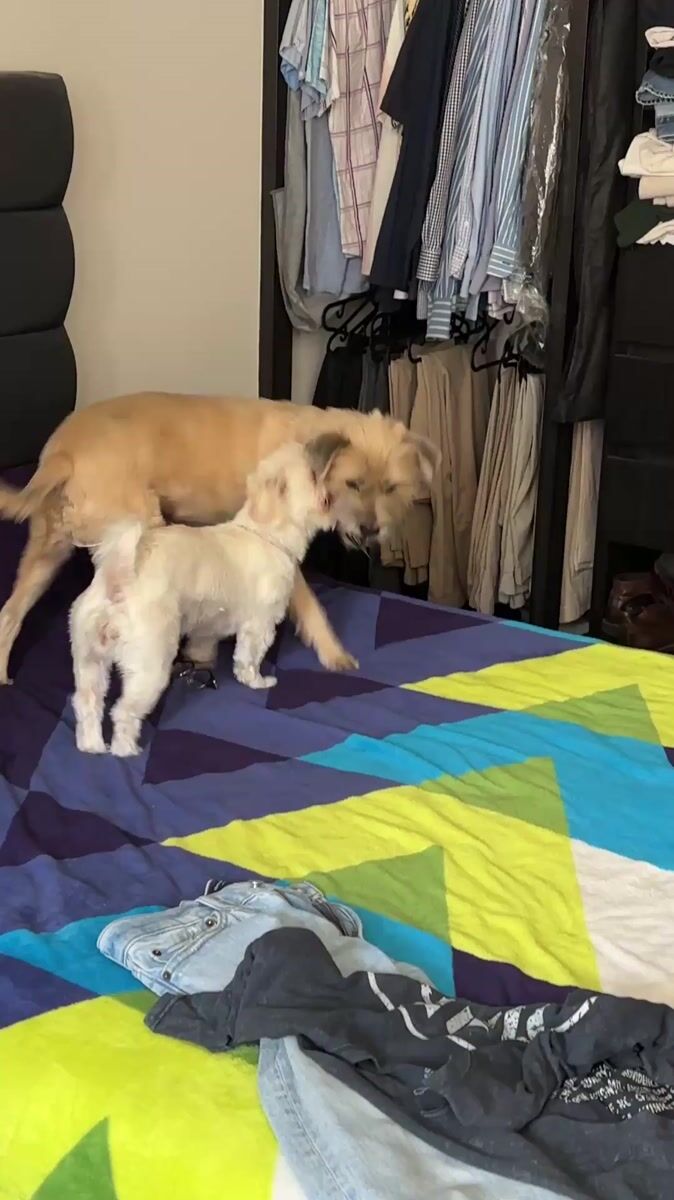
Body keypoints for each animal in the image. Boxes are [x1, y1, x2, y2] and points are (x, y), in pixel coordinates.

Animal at [0, 392, 439, 684]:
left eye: (391, 488)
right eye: (353, 483)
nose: (371, 530)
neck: (306, 444)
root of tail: (63, 454)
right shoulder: (277, 549)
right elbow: (312, 607)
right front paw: (335, 654)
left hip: (47, 551)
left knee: (9, 614)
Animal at [69, 439, 338, 757]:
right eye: (313, 474)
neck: (264, 532)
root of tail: (117, 583)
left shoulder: (208, 626)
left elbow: (203, 646)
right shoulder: (260, 625)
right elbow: (248, 659)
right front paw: (258, 682)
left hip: (89, 658)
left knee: (87, 703)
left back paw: (92, 745)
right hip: (149, 664)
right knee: (124, 712)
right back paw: (127, 750)